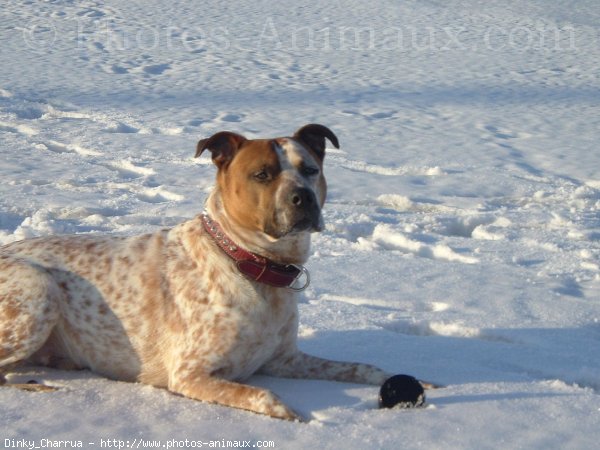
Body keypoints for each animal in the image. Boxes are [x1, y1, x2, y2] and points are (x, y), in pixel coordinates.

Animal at [0, 125, 412, 420]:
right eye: (262, 174)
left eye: (310, 170)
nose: (303, 198)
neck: (253, 267)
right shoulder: (190, 373)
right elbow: (263, 395)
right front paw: (295, 415)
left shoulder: (284, 359)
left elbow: (361, 367)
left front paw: (412, 381)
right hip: (39, 290)